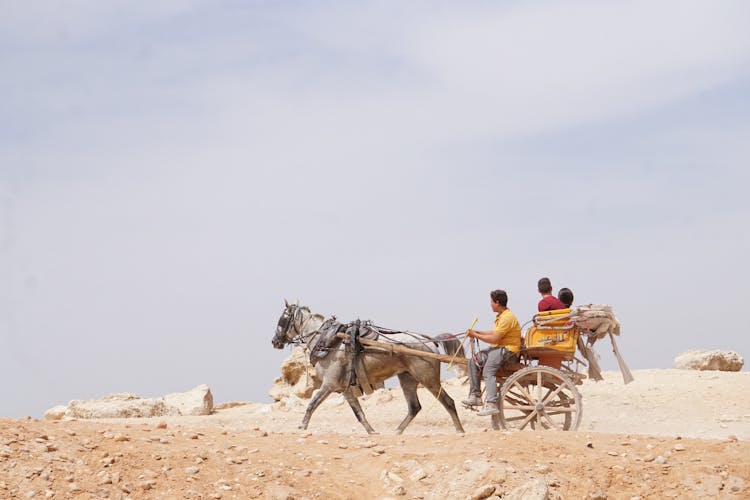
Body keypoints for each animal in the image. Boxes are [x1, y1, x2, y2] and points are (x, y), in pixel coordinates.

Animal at [274, 300, 468, 434]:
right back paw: (397, 432)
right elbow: (359, 413)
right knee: (414, 407)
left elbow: (311, 404)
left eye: (282, 319)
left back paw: (460, 431)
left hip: (428, 379)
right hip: (407, 379)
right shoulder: (345, 389)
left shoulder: (329, 385)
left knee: (448, 402)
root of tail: (430, 342)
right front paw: (372, 432)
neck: (329, 341)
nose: (274, 341)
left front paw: (302, 426)